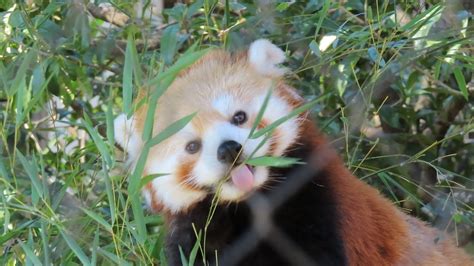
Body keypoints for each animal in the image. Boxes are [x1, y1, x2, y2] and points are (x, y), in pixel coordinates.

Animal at [114, 38, 470, 264]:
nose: (229, 149)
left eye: (239, 117)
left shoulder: (319, 205)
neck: (249, 208)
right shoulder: (195, 238)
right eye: (192, 146)